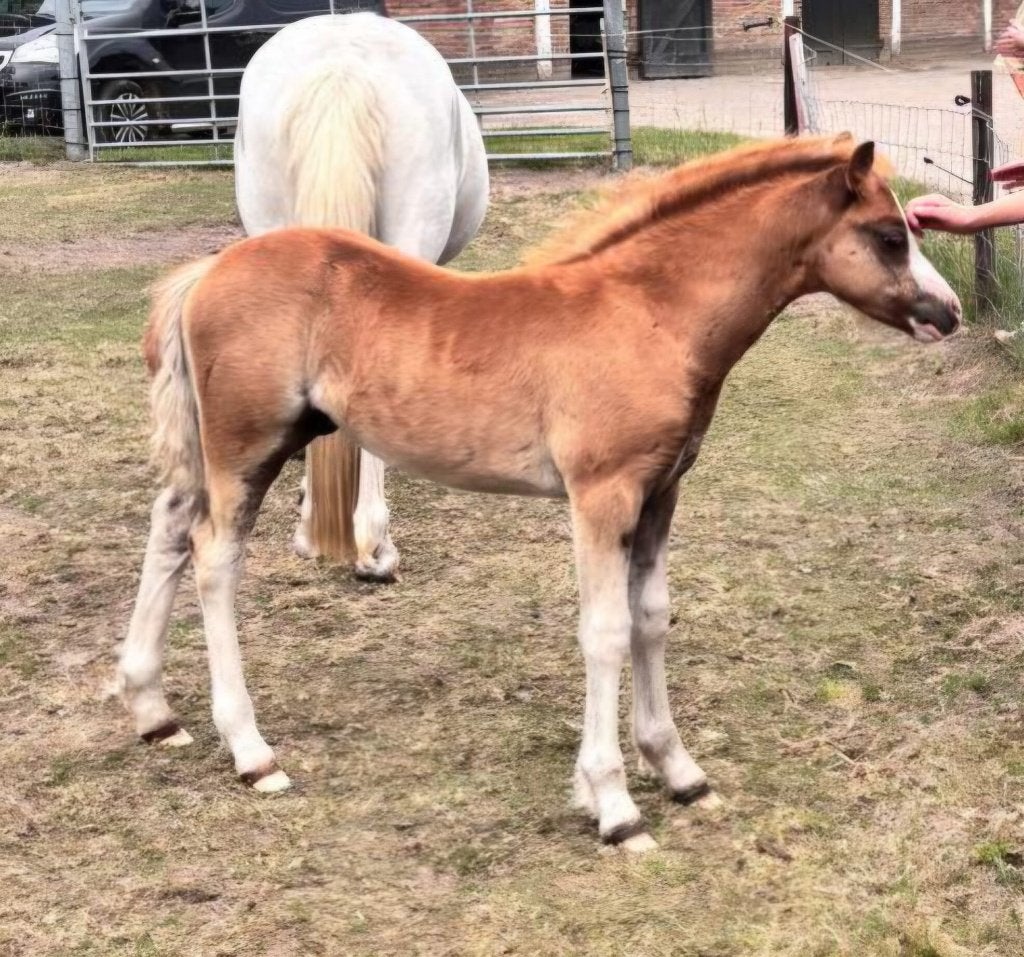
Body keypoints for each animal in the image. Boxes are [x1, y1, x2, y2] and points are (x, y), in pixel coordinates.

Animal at [127, 137, 960, 851]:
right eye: (889, 236)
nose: (948, 312)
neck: (651, 312)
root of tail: (207, 272)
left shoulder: (661, 492)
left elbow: (651, 618)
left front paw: (679, 770)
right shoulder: (602, 495)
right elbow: (605, 631)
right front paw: (614, 805)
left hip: (223, 449)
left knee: (169, 527)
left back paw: (153, 710)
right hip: (247, 445)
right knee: (212, 558)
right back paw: (251, 751)